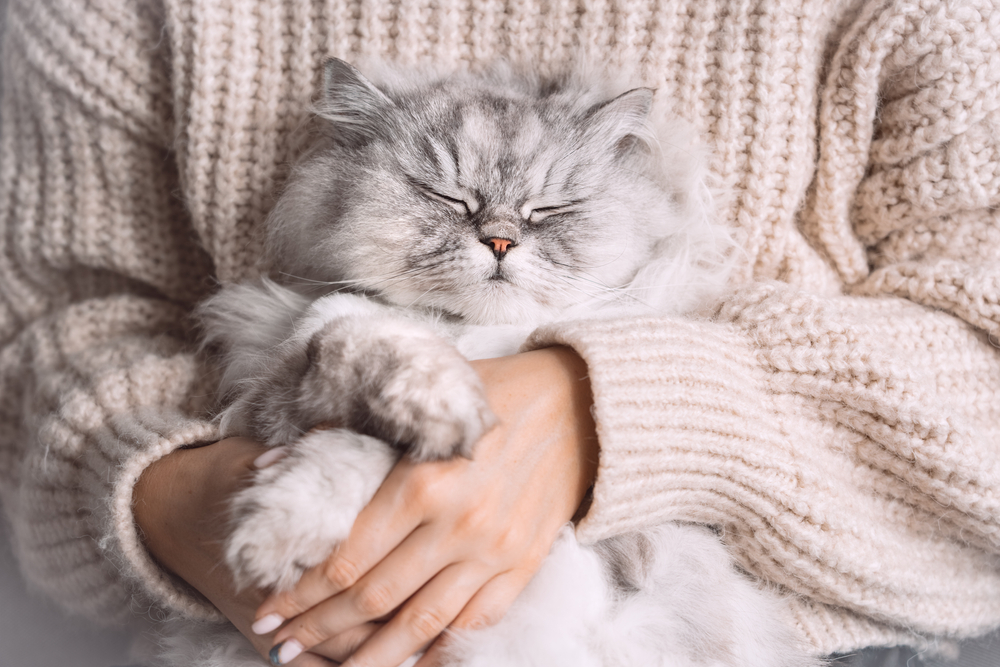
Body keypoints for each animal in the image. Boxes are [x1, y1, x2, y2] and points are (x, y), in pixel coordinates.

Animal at [164, 60, 816, 667]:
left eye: (548, 209)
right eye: (449, 197)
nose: (501, 243)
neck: (472, 336)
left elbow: (354, 433)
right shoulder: (266, 398)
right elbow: (353, 357)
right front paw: (279, 535)